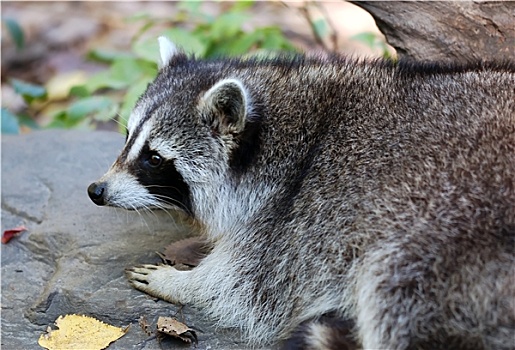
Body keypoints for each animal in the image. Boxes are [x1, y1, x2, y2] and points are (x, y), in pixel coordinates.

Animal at [86, 37, 512, 348]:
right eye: (128, 138)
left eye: (154, 158)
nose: (96, 190)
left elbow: (246, 288)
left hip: (451, 231)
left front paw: (182, 283)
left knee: (393, 285)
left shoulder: (303, 218)